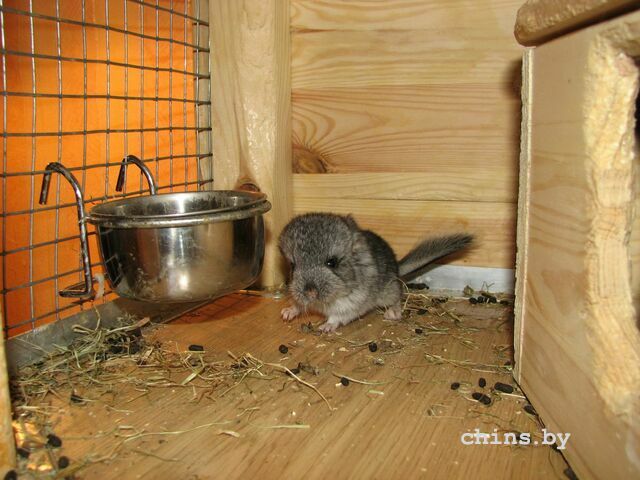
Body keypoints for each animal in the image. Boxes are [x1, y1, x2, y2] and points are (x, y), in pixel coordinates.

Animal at [278, 213, 473, 333]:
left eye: (331, 262)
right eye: (293, 265)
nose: (310, 293)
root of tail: (397, 268)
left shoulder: (351, 304)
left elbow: (336, 317)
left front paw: (326, 327)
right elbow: (297, 305)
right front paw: (287, 313)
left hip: (388, 291)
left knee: (397, 297)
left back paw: (392, 313)